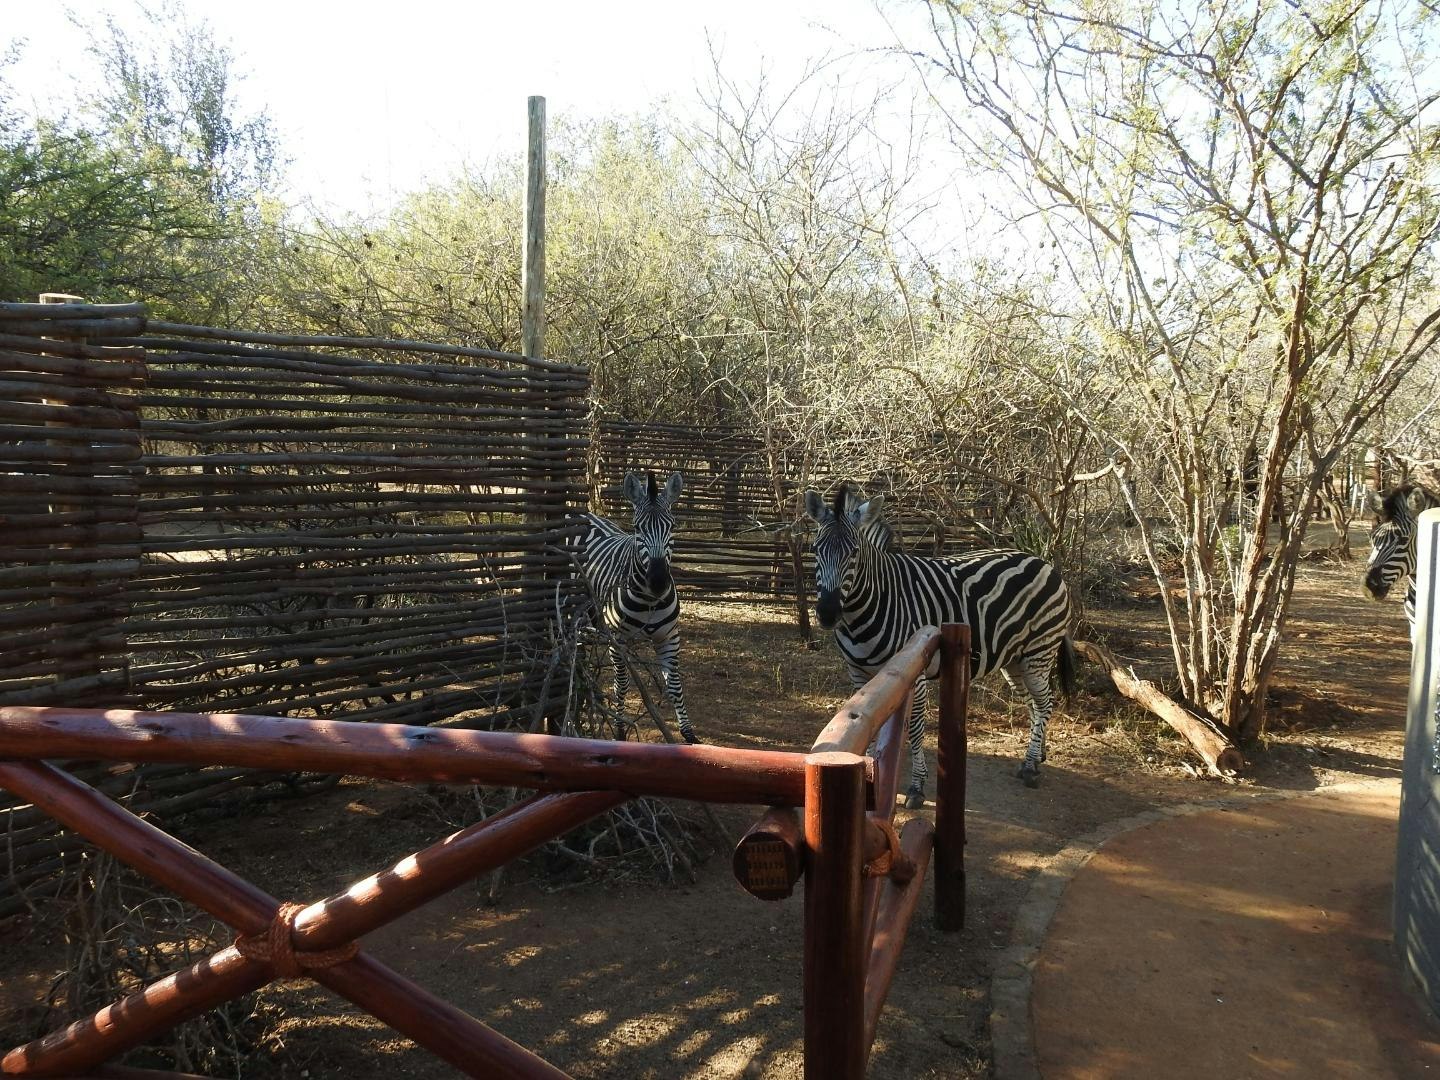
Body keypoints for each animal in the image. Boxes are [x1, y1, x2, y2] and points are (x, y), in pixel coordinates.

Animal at [570, 471, 697, 744]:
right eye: (638, 528)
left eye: (673, 526)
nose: (658, 582)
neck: (650, 600)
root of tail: (580, 514)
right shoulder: (617, 639)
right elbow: (622, 684)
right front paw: (619, 730)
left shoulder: (669, 637)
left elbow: (675, 686)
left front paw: (689, 734)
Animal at [805, 485, 1076, 798]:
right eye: (815, 550)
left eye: (854, 553)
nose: (827, 613)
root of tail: (1044, 563)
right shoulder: (859, 674)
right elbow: (868, 726)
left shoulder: (915, 672)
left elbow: (915, 729)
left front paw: (917, 785)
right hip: (1015, 660)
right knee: (1034, 703)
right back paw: (1038, 754)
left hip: (1038, 652)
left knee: (1045, 702)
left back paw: (1031, 765)